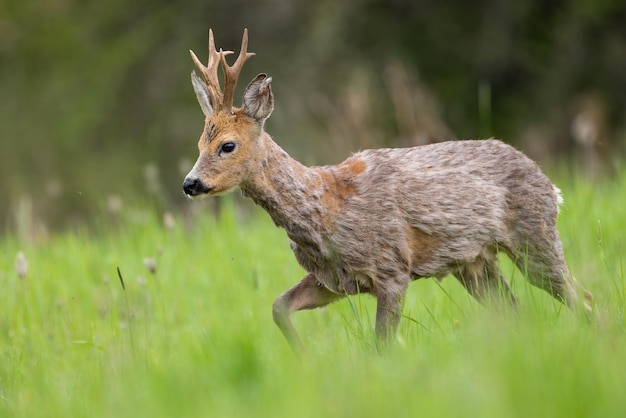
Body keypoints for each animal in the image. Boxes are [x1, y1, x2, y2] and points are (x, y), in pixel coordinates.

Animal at [182, 28, 588, 350]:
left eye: (228, 145)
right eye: (199, 143)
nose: (190, 183)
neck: (326, 208)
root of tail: (549, 183)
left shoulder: (392, 268)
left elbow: (382, 344)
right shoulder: (334, 279)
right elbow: (278, 307)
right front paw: (304, 358)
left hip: (534, 237)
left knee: (582, 298)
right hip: (475, 262)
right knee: (517, 311)